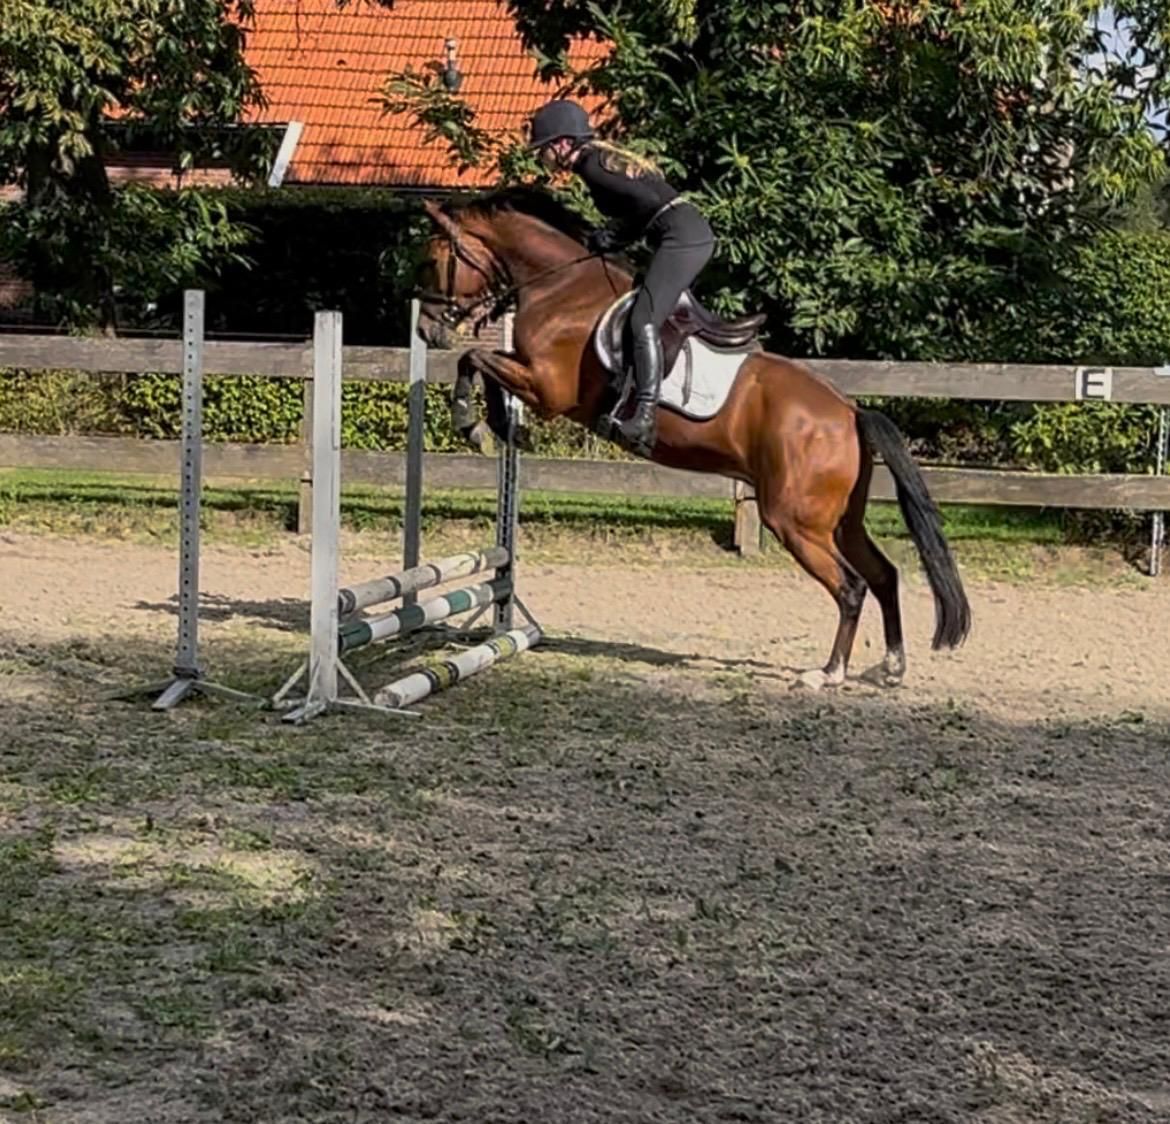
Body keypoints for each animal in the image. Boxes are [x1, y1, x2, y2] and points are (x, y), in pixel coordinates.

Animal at [414, 187, 970, 688]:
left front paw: (474, 423)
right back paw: (891, 667)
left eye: (434, 259)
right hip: (838, 521)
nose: (428, 330)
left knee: (852, 587)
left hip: (796, 521)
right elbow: (481, 362)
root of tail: (850, 412)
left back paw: (829, 673)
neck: (562, 289)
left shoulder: (548, 388)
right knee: (884, 575)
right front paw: (494, 424)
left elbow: (476, 358)